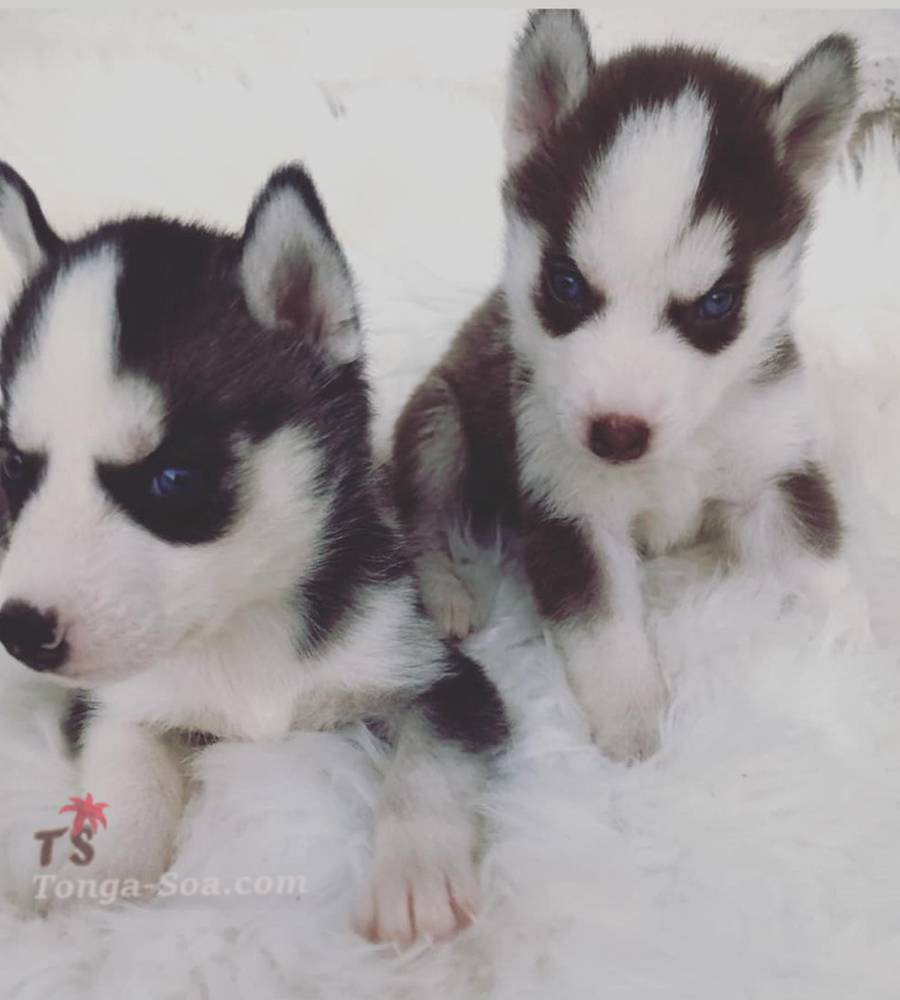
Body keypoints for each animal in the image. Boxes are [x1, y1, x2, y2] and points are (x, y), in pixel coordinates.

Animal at [0, 160, 508, 945]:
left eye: (175, 479)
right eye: (13, 467)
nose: (21, 630)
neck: (241, 634)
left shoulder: (441, 682)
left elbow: (427, 765)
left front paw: (415, 876)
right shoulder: (113, 701)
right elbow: (127, 768)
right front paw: (101, 876)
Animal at [393, 10, 864, 762]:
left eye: (716, 304)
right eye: (566, 285)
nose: (615, 434)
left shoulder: (773, 467)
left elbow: (815, 561)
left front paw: (853, 643)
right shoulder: (568, 505)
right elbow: (604, 629)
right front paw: (634, 721)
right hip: (442, 421)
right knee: (419, 519)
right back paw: (444, 589)